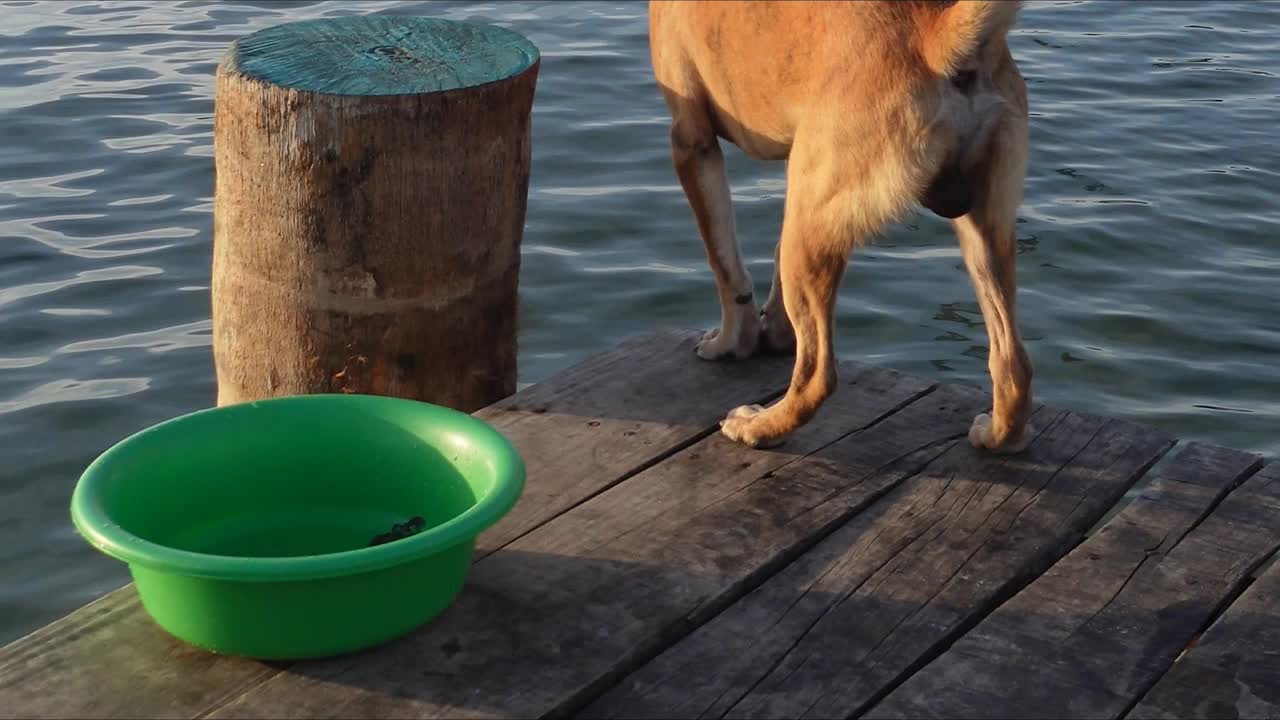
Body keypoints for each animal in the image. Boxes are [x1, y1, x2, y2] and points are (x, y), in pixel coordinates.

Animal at [655, 0, 1034, 448]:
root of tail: (934, 37)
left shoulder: (692, 142)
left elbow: (725, 265)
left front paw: (731, 343)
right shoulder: (795, 164)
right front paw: (776, 334)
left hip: (809, 226)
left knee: (818, 376)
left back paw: (758, 426)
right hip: (982, 231)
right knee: (1013, 364)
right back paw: (996, 436)